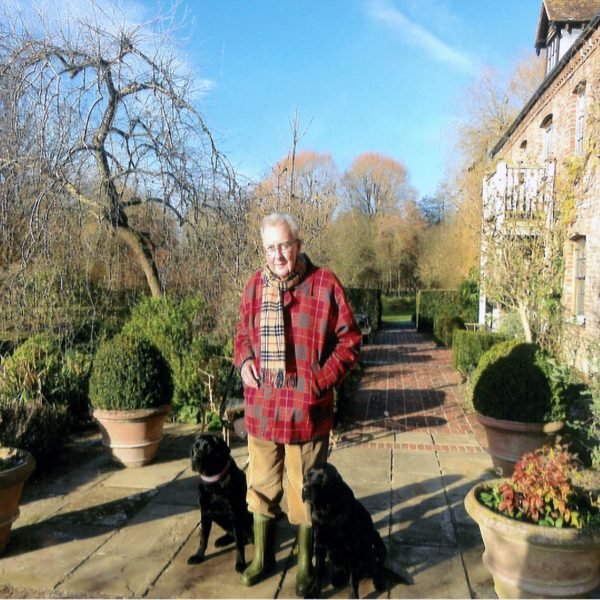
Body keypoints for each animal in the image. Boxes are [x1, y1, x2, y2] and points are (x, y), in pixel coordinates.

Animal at [188, 432, 253, 572]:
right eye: (195, 447)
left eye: (209, 448)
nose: (195, 459)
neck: (213, 482)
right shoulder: (205, 513)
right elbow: (203, 538)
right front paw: (198, 556)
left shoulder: (234, 514)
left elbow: (239, 544)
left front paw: (241, 563)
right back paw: (222, 540)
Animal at [302, 462, 410, 596]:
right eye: (307, 476)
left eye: (323, 480)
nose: (305, 489)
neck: (327, 511)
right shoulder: (320, 545)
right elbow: (319, 571)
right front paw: (313, 592)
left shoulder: (353, 548)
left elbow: (353, 581)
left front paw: (353, 596)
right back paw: (338, 577)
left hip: (377, 542)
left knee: (377, 568)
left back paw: (378, 582)